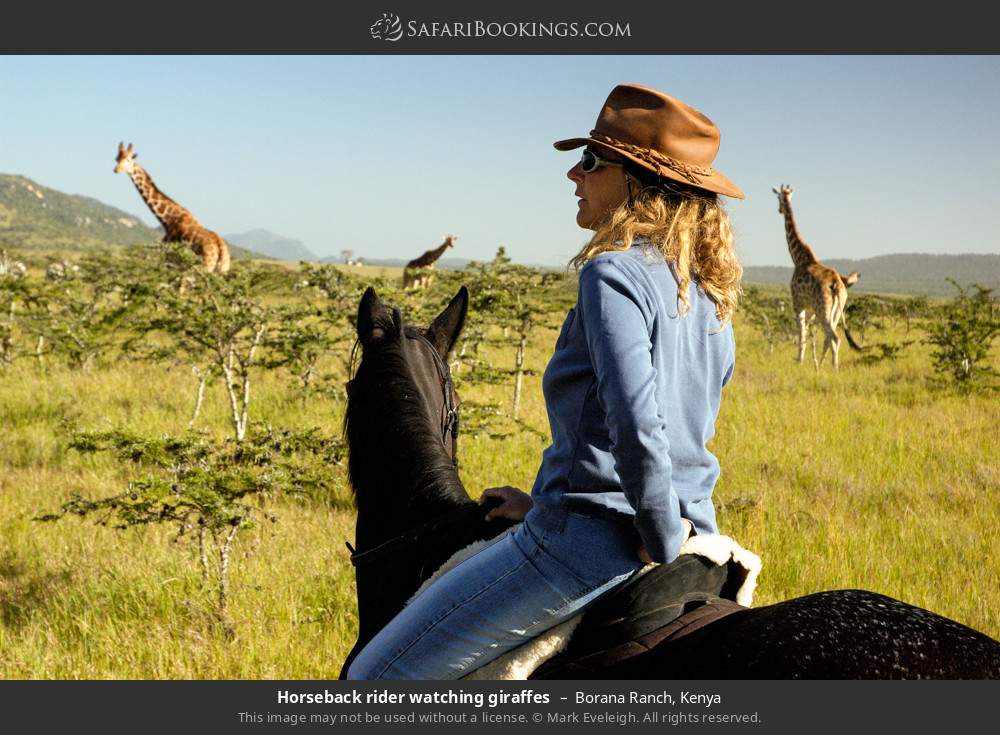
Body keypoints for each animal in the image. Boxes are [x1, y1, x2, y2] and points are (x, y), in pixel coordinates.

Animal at [113, 142, 230, 274]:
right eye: (117, 158)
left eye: (128, 160)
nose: (116, 170)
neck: (168, 219)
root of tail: (221, 249)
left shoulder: (169, 257)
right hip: (223, 269)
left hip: (204, 266)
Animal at [772, 184, 860, 368]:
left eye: (778, 198)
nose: (779, 209)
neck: (799, 258)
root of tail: (836, 284)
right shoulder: (810, 308)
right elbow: (808, 332)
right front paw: (806, 360)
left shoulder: (798, 302)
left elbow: (801, 331)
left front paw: (799, 361)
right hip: (836, 310)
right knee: (829, 337)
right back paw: (821, 365)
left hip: (823, 309)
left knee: (834, 338)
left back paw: (833, 369)